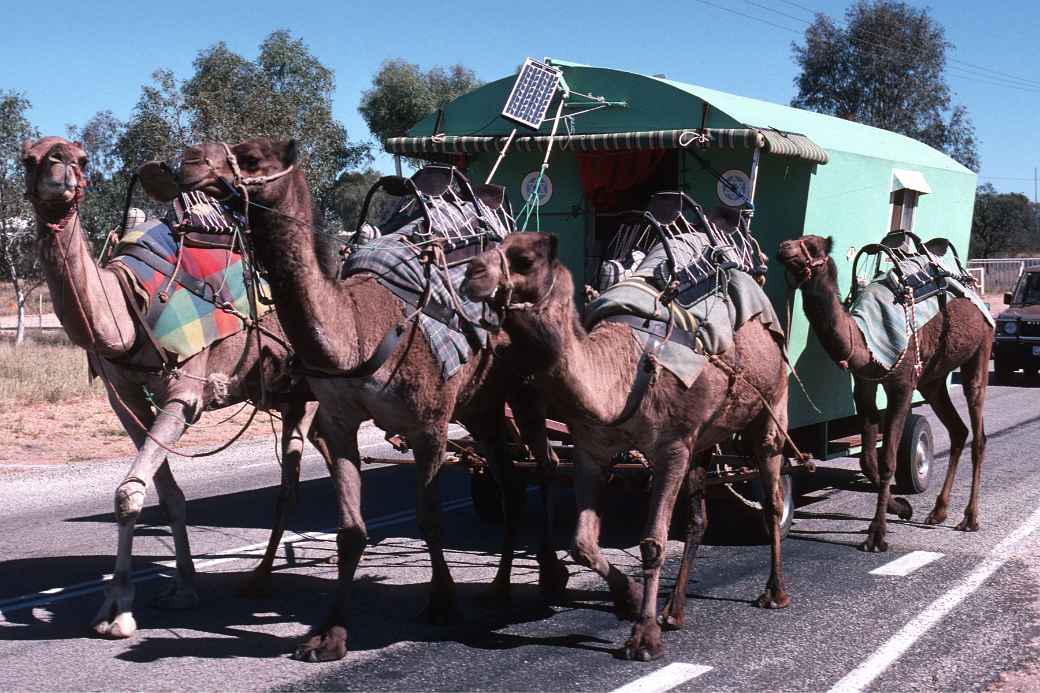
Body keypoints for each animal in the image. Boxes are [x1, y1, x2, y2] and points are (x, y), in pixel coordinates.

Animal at [22, 136, 330, 639]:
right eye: (28, 158)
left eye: (82, 159)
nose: (60, 168)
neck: (129, 302)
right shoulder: (124, 399)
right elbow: (163, 495)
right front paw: (180, 589)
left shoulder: (186, 392)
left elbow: (127, 493)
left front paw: (118, 612)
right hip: (293, 393)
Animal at [173, 137, 566, 663]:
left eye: (252, 158)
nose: (190, 163)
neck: (356, 334)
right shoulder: (338, 421)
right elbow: (351, 530)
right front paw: (329, 634)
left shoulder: (428, 424)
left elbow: (428, 519)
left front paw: (442, 604)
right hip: (480, 402)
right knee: (509, 481)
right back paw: (500, 587)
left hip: (522, 385)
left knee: (544, 465)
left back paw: (551, 575)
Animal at [463, 231, 791, 661]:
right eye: (493, 246)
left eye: (525, 259)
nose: (471, 273)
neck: (618, 377)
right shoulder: (592, 450)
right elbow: (583, 544)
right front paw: (630, 600)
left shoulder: (670, 448)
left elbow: (653, 542)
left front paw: (644, 638)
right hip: (705, 437)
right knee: (699, 519)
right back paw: (674, 611)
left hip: (771, 406)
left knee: (772, 498)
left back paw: (774, 593)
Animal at [777, 235, 993, 552]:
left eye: (813, 246)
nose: (784, 248)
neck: (863, 337)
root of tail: (973, 290)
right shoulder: (864, 384)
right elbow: (868, 459)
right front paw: (902, 507)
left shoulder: (902, 384)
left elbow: (888, 458)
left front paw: (877, 534)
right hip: (933, 378)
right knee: (958, 430)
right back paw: (938, 511)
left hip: (980, 349)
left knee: (978, 431)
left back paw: (970, 518)